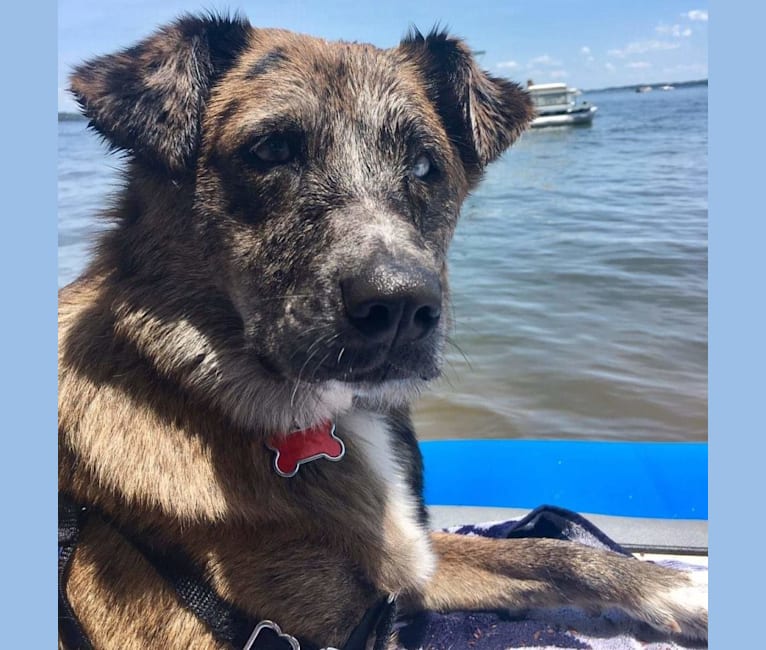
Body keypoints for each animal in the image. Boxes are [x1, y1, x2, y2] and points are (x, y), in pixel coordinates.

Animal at [58, 12, 708, 644]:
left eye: (425, 166)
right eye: (271, 150)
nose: (399, 307)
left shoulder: (412, 573)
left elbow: (548, 555)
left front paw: (681, 589)